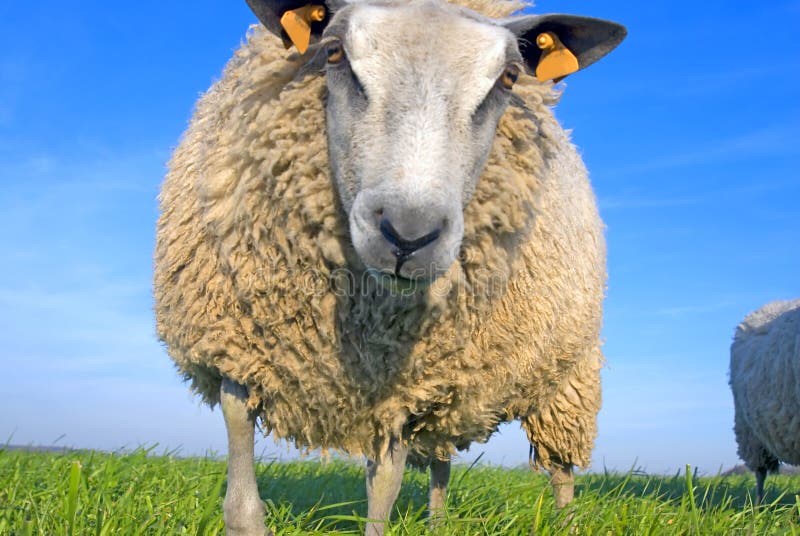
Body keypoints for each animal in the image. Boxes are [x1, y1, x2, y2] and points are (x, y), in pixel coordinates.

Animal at [153, 0, 628, 532]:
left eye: (509, 77)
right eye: (333, 52)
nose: (409, 234)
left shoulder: (404, 387)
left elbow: (384, 484)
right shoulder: (236, 345)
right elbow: (240, 464)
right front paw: (246, 521)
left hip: (566, 380)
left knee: (562, 468)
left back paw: (566, 521)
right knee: (441, 460)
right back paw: (438, 523)